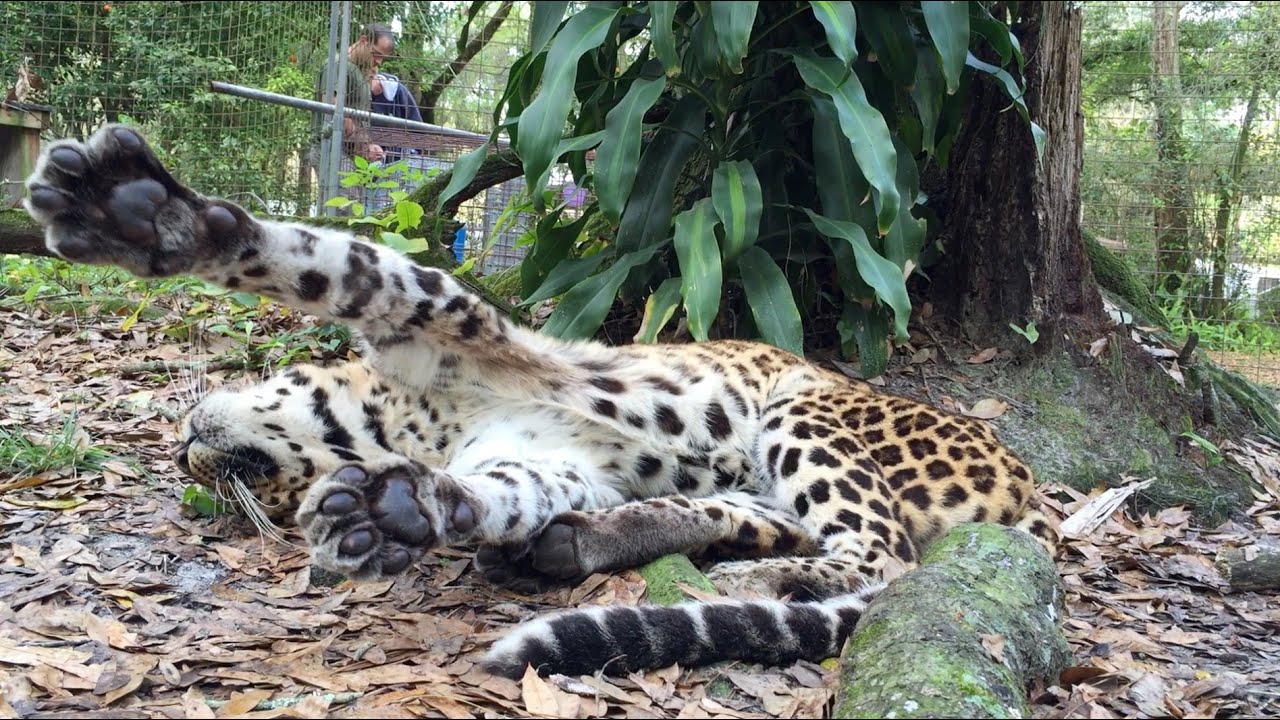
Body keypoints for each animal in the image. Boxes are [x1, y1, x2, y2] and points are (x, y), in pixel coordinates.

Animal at [24, 124, 1059, 681]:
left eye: (252, 493)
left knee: (885, 559)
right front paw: (405, 512)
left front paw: (146, 215)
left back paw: (744, 580)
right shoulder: (541, 452)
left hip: (809, 413)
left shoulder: (489, 340)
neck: (401, 419)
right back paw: (600, 551)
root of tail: (1037, 492)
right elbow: (503, 489)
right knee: (778, 529)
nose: (180, 455)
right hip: (760, 480)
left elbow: (356, 269)